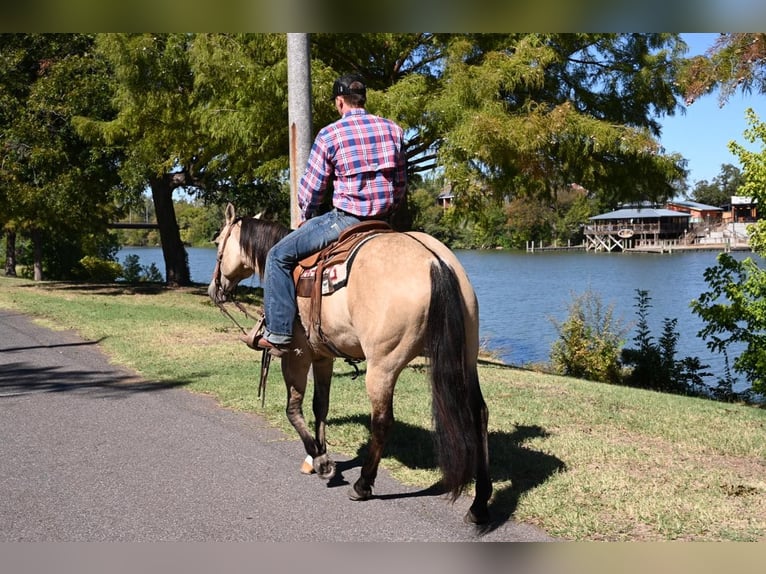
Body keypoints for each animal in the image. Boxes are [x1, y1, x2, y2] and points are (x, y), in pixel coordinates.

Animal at [207, 204, 492, 528]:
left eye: (218, 242)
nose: (214, 289)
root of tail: (435, 262)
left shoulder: (297, 355)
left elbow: (293, 408)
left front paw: (320, 461)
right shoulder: (323, 356)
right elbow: (321, 406)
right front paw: (319, 454)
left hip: (383, 366)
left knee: (382, 422)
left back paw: (363, 484)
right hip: (466, 356)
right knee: (478, 413)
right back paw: (479, 503)